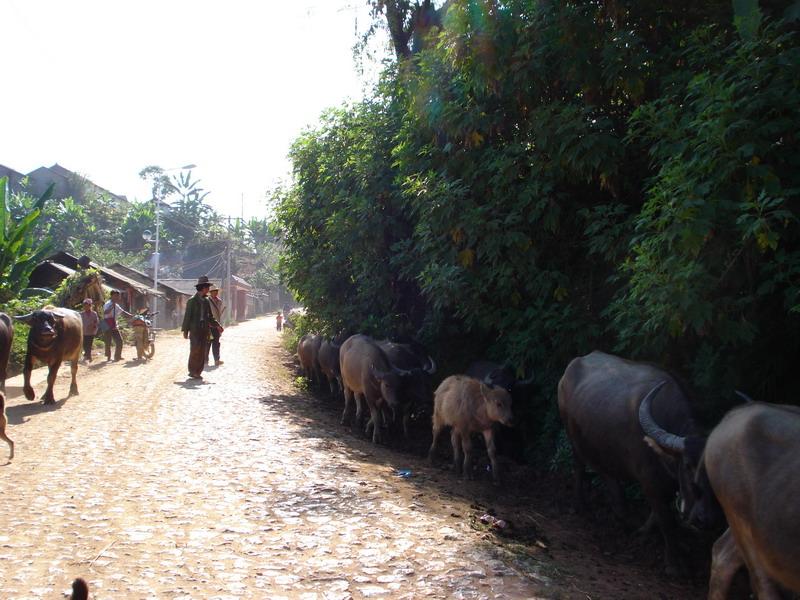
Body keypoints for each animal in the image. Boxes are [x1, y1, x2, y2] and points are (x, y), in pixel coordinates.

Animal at [556, 350, 708, 576]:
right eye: (688, 466)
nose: (703, 518)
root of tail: (575, 363)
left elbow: (659, 515)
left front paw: (644, 531)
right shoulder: (649, 482)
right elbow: (666, 520)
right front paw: (673, 564)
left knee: (606, 472)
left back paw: (622, 512)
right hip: (573, 434)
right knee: (581, 465)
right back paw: (583, 506)